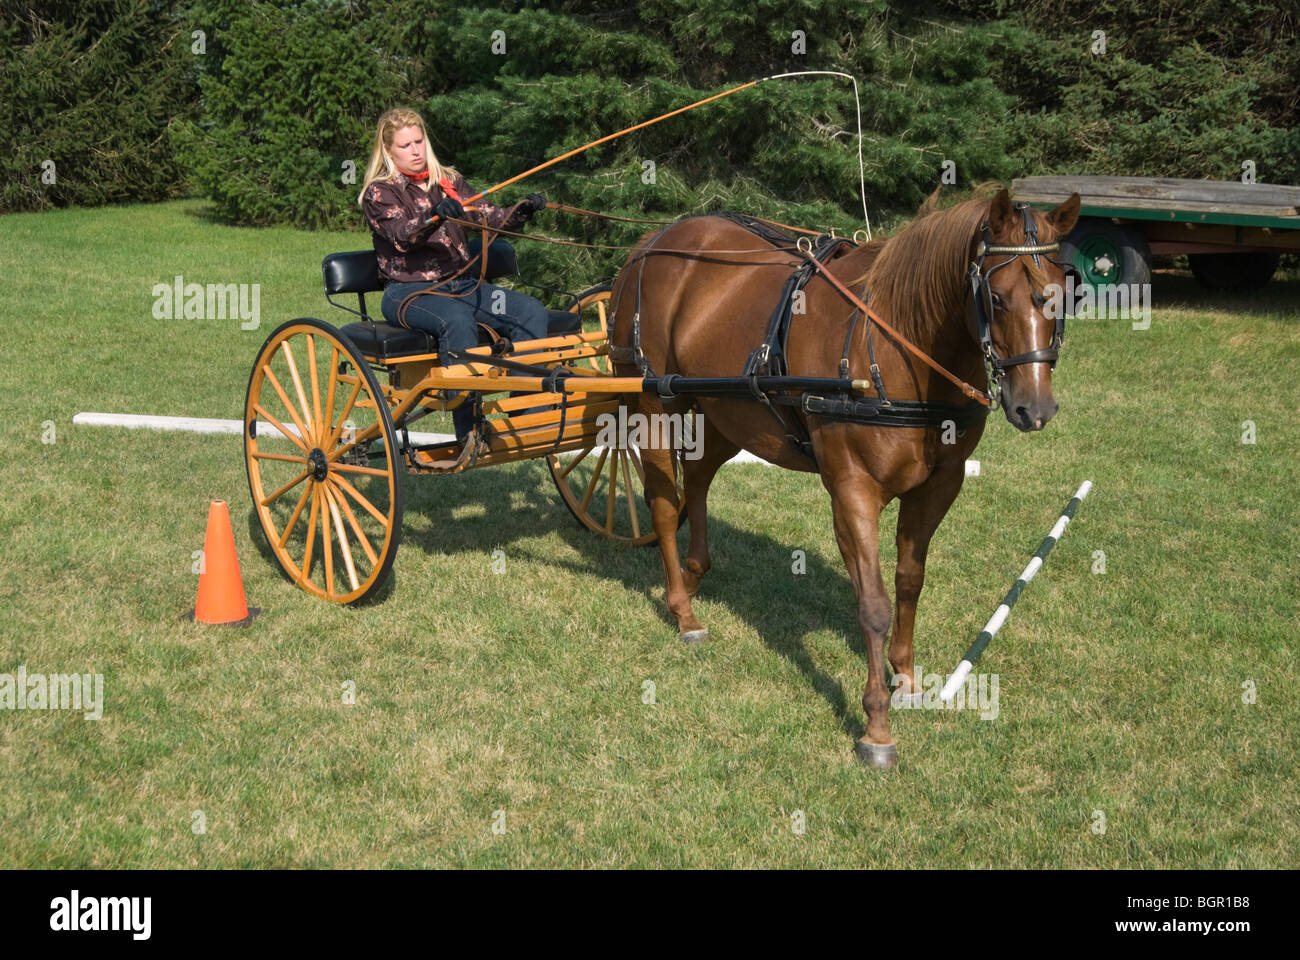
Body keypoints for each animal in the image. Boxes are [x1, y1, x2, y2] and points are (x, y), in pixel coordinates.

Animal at [603, 188, 1081, 764]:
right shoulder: (853, 489)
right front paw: (876, 726)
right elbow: (872, 604)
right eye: (997, 297)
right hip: (654, 404)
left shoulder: (939, 487)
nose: (1035, 408)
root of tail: (649, 243)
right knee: (662, 500)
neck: (895, 340)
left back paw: (695, 575)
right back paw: (682, 609)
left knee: (695, 481)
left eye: (1060, 296)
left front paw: (907, 678)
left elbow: (909, 582)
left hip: (726, 411)